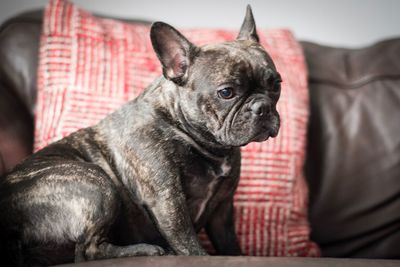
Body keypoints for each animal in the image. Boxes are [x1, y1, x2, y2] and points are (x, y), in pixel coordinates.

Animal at [0, 5, 282, 266]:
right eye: (226, 92)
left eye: (276, 84)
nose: (262, 106)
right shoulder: (168, 199)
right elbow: (188, 244)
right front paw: (198, 255)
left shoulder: (222, 211)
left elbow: (230, 245)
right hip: (96, 181)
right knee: (88, 250)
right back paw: (145, 250)